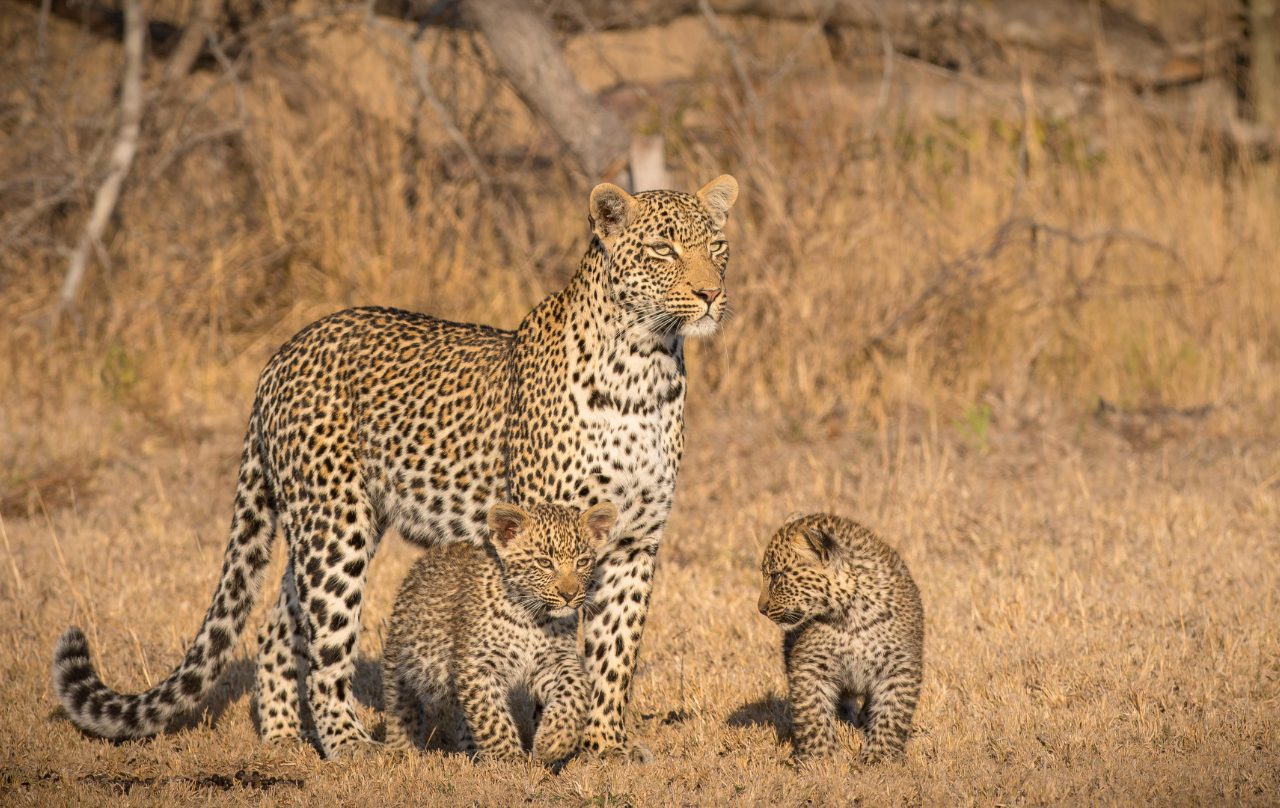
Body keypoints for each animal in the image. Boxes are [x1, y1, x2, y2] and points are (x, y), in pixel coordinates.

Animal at [382, 501, 614, 763]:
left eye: (582, 562)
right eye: (544, 563)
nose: (569, 594)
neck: (532, 618)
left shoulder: (553, 660)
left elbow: (577, 689)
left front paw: (553, 741)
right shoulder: (478, 666)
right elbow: (491, 717)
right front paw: (509, 759)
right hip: (400, 656)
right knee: (400, 703)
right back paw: (401, 749)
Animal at [757, 513, 924, 763]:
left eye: (776, 576)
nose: (761, 609)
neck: (851, 617)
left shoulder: (900, 667)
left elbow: (892, 714)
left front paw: (880, 756)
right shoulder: (809, 667)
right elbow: (813, 715)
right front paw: (821, 759)